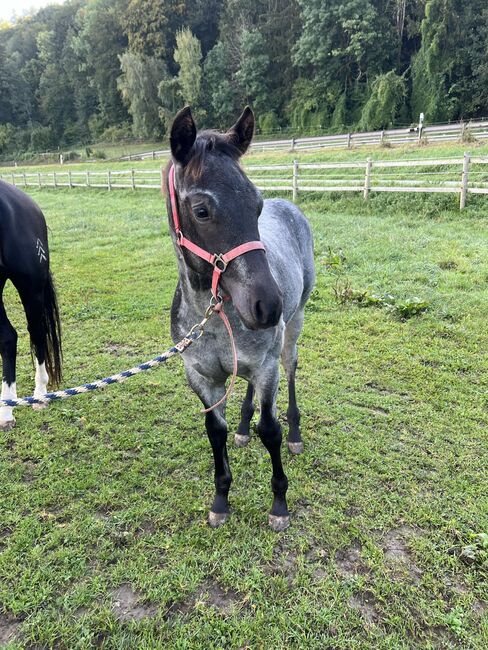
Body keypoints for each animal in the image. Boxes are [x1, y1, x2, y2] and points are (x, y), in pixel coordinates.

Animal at [166, 106, 314, 528]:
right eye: (202, 210)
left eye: (256, 205)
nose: (268, 306)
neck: (215, 320)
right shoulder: (201, 376)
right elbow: (215, 430)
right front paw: (220, 501)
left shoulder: (266, 366)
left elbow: (271, 429)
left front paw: (279, 504)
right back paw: (244, 426)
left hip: (294, 327)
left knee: (291, 367)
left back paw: (295, 433)